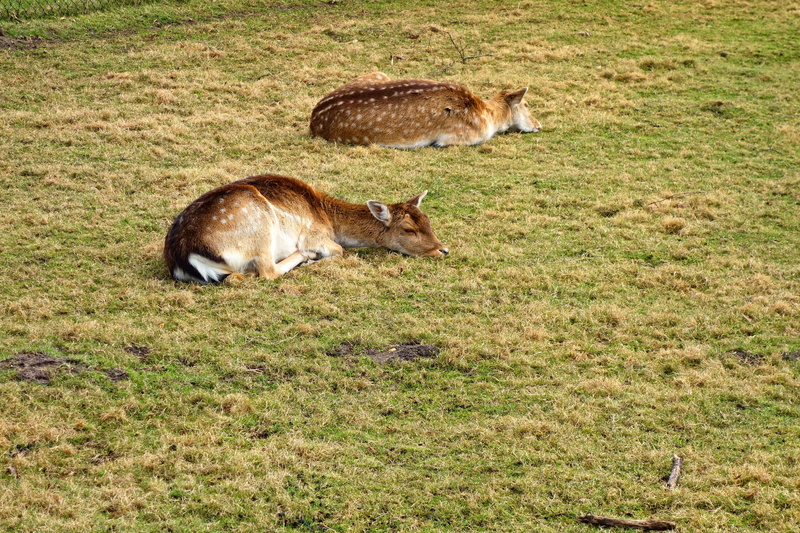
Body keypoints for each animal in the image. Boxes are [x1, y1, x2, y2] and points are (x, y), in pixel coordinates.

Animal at [164, 174, 449, 284]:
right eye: (409, 229)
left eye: (428, 221)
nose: (443, 250)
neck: (328, 218)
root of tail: (183, 255)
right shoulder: (316, 236)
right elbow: (339, 250)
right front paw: (312, 257)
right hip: (259, 228)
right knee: (266, 272)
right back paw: (303, 258)